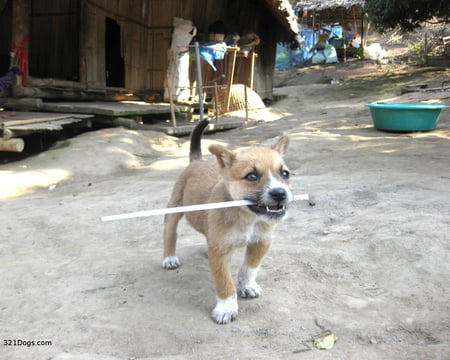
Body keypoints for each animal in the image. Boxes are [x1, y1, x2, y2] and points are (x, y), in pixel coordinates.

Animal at [160, 119, 294, 324]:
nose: (280, 193)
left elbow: (249, 268)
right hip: (175, 207)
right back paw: (169, 258)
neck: (247, 216)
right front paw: (226, 307)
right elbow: (224, 282)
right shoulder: (220, 251)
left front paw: (247, 286)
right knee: (169, 232)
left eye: (285, 174)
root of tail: (197, 160)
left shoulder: (261, 242)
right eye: (252, 176)